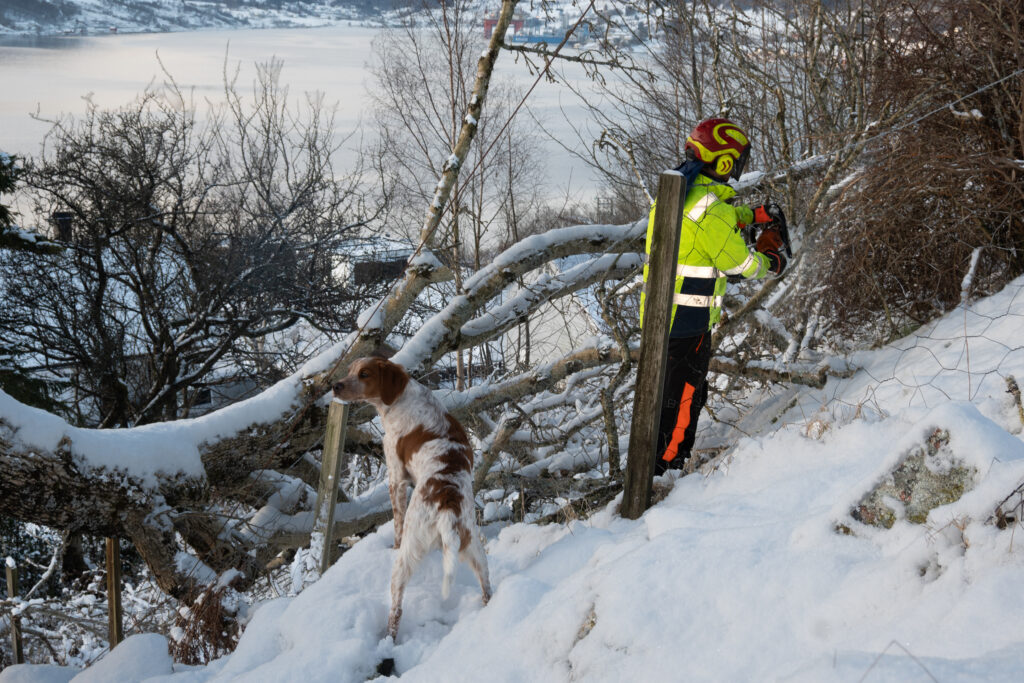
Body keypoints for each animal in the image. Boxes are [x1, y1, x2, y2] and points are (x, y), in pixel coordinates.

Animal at [332, 356, 491, 640]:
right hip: (475, 549)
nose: (335, 386)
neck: (400, 399)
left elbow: (397, 520)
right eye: (350, 370)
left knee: (396, 609)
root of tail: (447, 504)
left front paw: (391, 544)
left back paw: (388, 639)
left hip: (406, 558)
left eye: (364, 374)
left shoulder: (396, 477)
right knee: (486, 586)